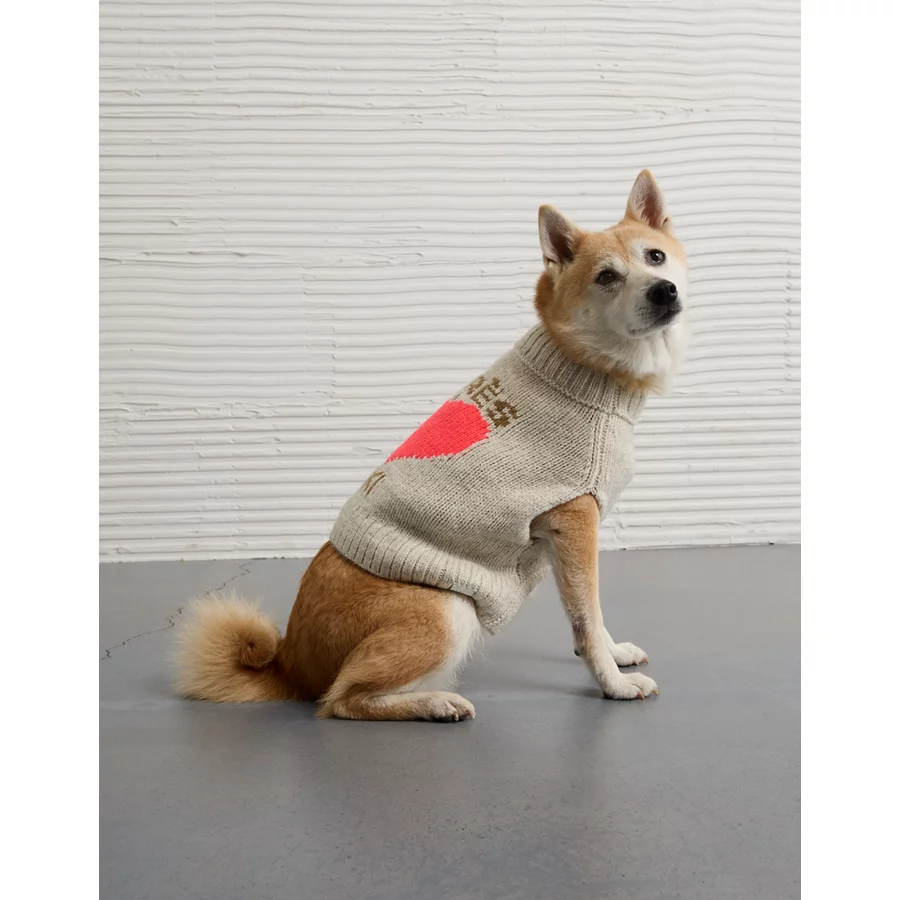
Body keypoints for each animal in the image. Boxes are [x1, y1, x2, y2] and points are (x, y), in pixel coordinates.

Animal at [174, 170, 688, 722]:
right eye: (607, 277)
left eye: (655, 256)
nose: (664, 290)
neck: (584, 367)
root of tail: (290, 663)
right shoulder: (574, 522)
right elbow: (587, 616)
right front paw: (613, 683)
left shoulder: (557, 538)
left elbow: (585, 615)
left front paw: (615, 654)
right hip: (447, 610)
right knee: (341, 700)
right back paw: (435, 702)